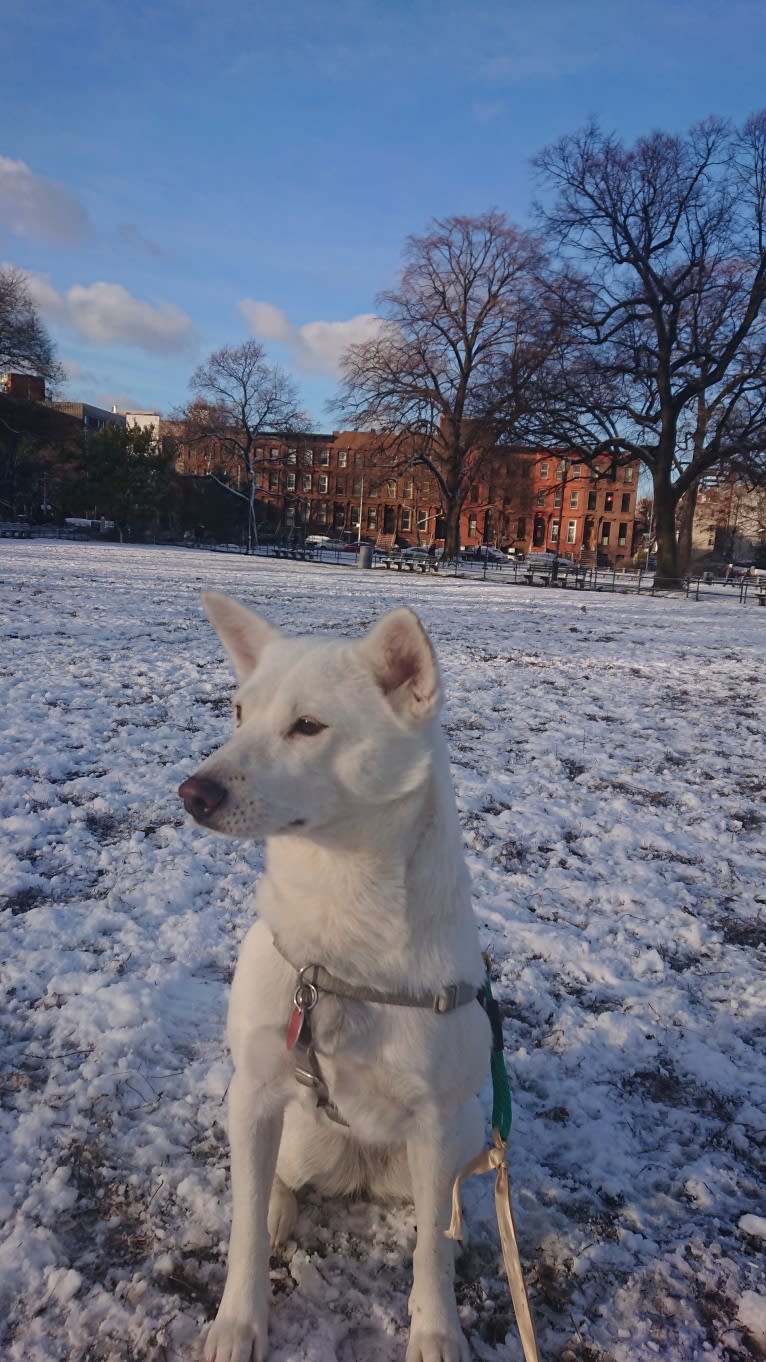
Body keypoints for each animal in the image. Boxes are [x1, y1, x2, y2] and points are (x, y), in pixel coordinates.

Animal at [178, 596, 487, 1362]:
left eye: (308, 726)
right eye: (238, 711)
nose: (192, 792)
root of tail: (362, 1166)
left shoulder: (436, 1122)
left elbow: (429, 1255)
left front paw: (436, 1331)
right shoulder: (255, 1090)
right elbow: (242, 1230)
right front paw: (239, 1323)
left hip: (466, 1128)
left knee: (443, 1212)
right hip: (291, 1130)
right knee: (273, 1187)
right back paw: (278, 1209)